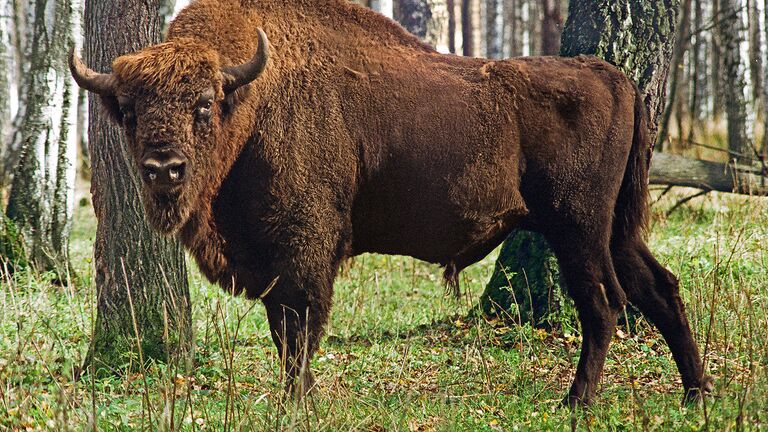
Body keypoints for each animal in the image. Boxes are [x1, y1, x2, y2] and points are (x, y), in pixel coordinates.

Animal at [72, 0, 712, 404]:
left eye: (203, 105)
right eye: (128, 110)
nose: (164, 169)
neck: (250, 97)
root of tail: (611, 75)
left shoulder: (304, 252)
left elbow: (299, 334)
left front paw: (296, 404)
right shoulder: (275, 262)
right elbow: (285, 334)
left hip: (578, 229)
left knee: (603, 305)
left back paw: (576, 403)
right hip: (616, 229)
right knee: (659, 287)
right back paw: (696, 394)